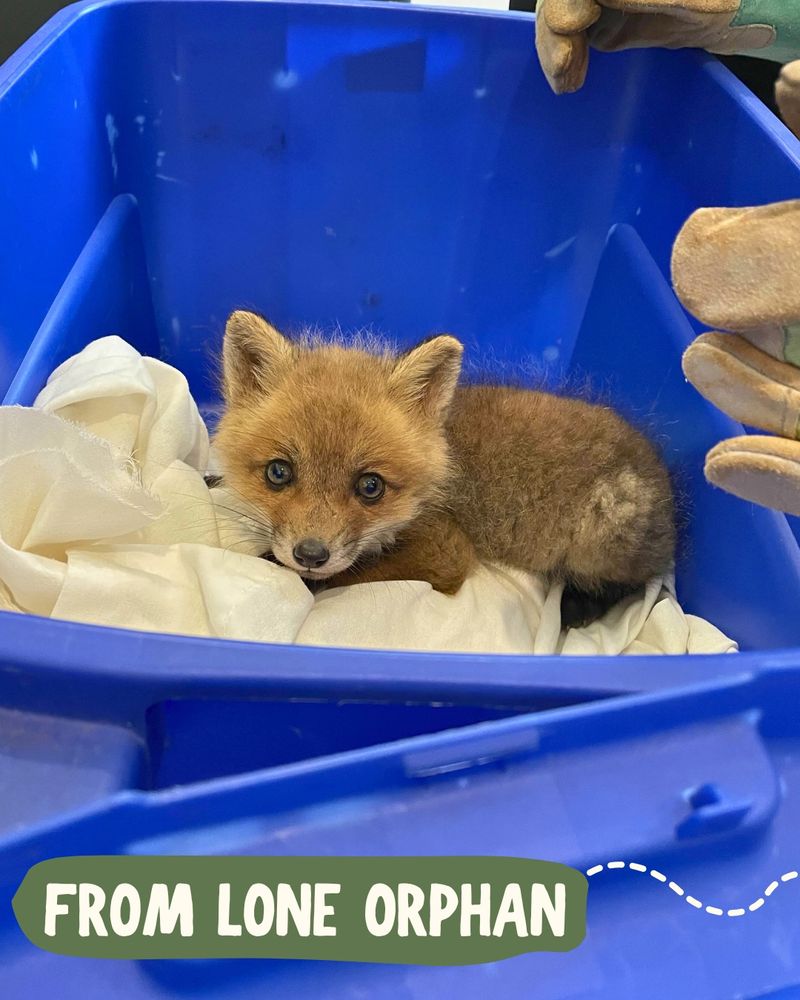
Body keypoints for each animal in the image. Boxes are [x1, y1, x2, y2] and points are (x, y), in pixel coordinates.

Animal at [213, 310, 676, 627]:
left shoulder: (446, 550)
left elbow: (353, 572)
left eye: (370, 486)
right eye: (278, 473)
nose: (310, 554)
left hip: (597, 537)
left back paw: (579, 606)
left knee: (635, 582)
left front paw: (291, 572)